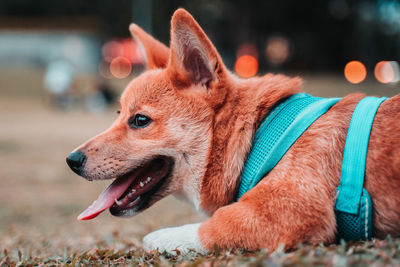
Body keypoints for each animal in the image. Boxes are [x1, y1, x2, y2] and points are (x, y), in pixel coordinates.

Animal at [65, 8, 400, 254]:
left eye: (140, 120)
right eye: (118, 115)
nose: (72, 160)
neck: (257, 135)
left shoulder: (289, 211)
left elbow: (210, 226)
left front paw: (158, 240)